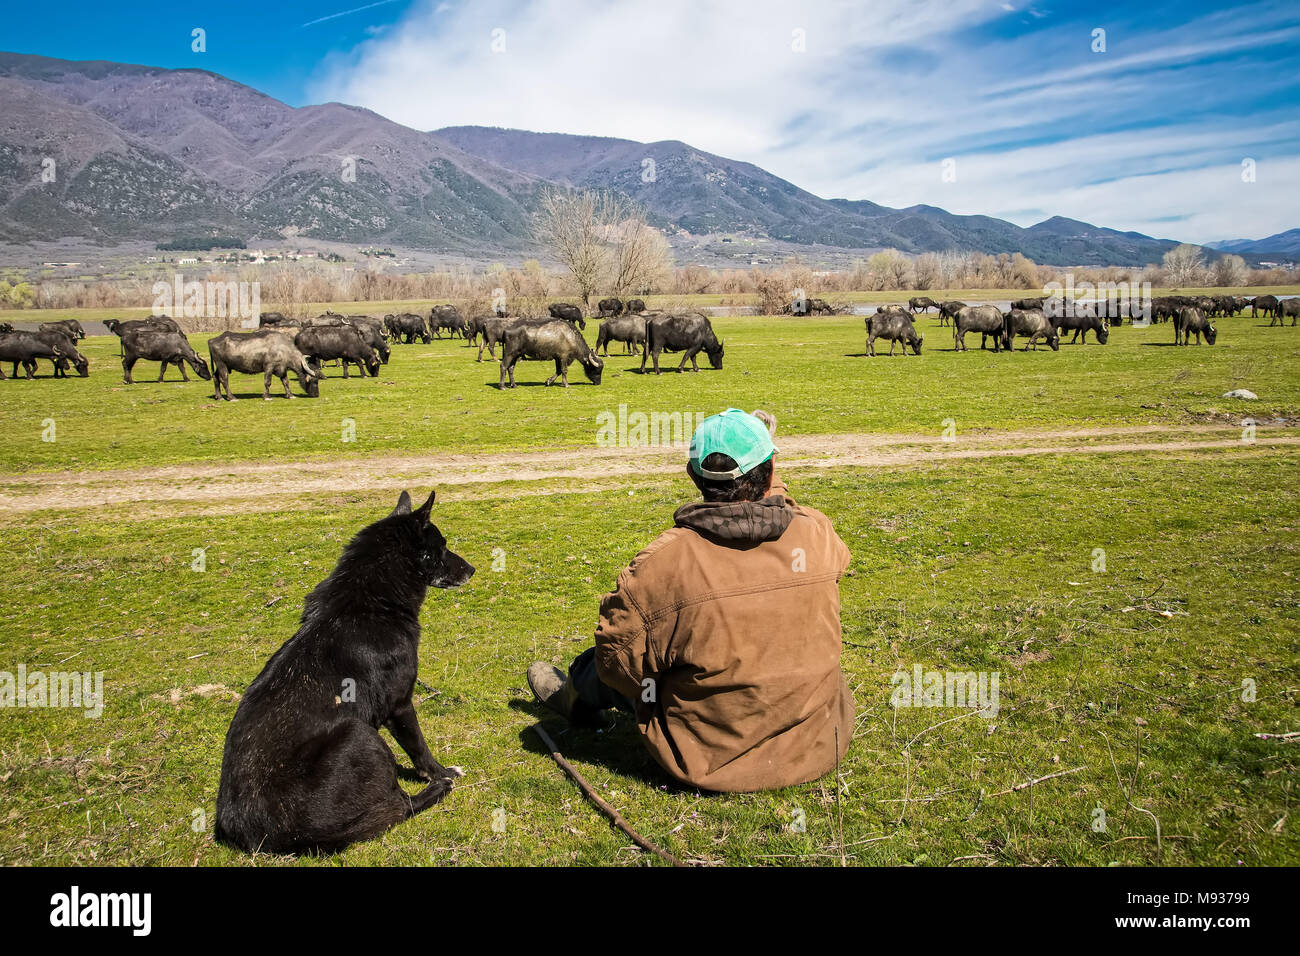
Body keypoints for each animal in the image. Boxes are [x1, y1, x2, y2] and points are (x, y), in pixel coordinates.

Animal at [215, 489, 475, 858]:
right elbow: (420, 749)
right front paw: (441, 772)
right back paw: (439, 789)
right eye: (441, 547)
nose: (473, 569)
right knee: (400, 806)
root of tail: (270, 837)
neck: (370, 601)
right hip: (360, 734)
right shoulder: (400, 705)